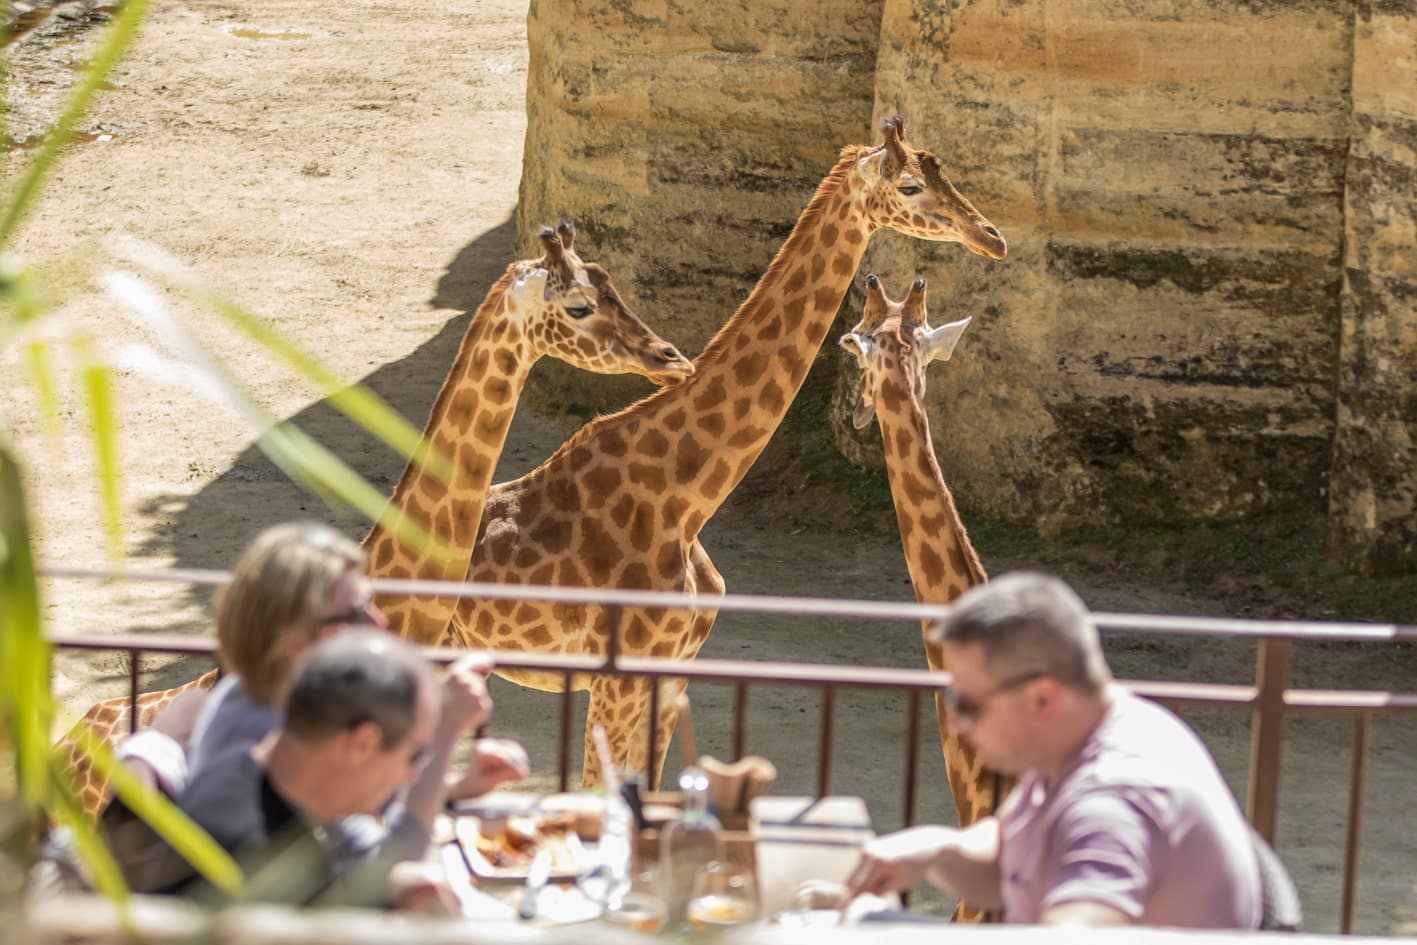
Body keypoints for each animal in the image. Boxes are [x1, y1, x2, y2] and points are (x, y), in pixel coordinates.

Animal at [442, 116, 1008, 782]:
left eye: (944, 171)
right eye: (911, 185)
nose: (992, 236)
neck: (682, 500)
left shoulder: (674, 675)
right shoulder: (615, 678)